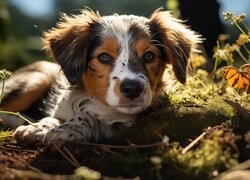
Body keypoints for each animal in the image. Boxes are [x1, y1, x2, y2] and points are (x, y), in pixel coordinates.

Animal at [0, 8, 200, 146]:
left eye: (149, 56)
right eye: (104, 57)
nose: (132, 89)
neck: (97, 102)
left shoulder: (124, 125)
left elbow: (91, 120)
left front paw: (67, 129)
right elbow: (53, 118)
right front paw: (37, 128)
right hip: (34, 81)